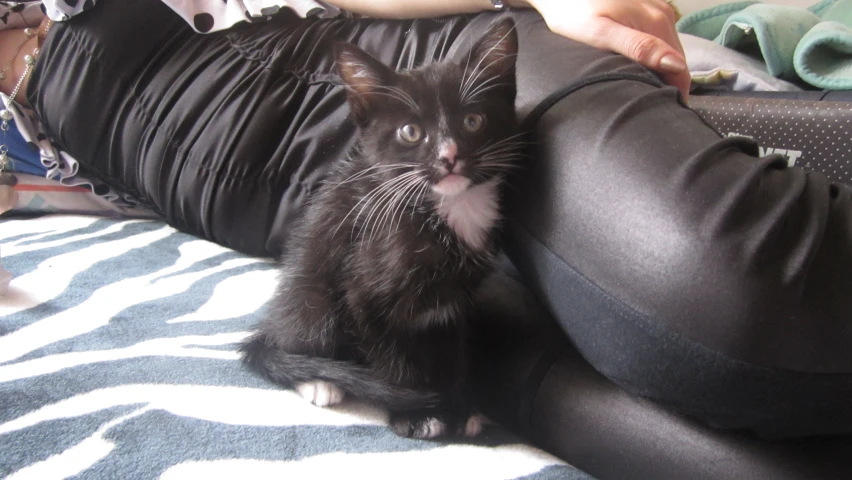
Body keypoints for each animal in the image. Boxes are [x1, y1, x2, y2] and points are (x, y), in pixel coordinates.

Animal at [238, 18, 520, 438]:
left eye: (473, 121)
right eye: (410, 132)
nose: (449, 157)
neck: (446, 209)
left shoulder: (454, 305)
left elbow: (453, 353)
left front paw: (458, 406)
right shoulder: (363, 294)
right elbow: (393, 365)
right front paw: (417, 411)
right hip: (314, 295)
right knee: (298, 335)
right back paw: (319, 380)